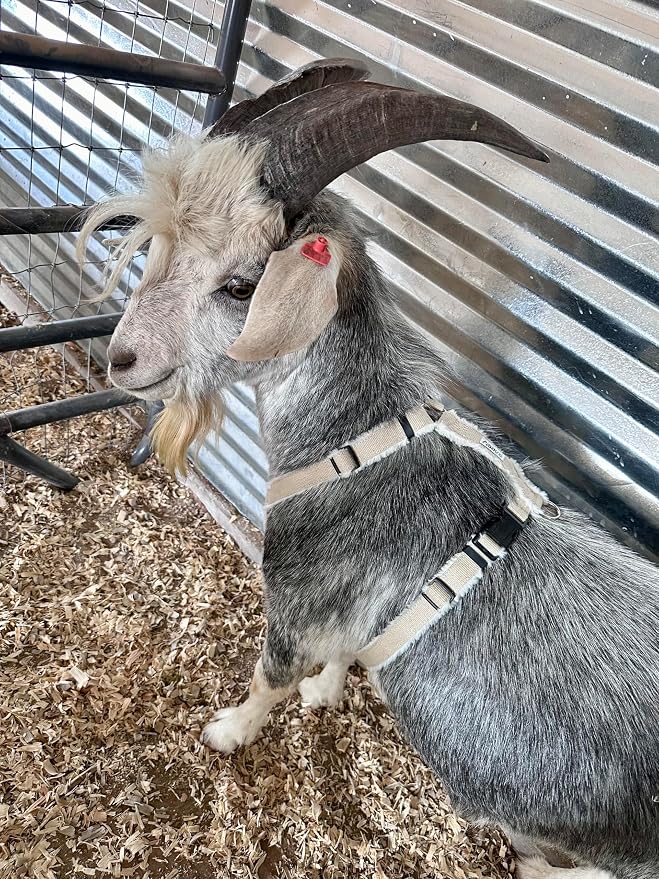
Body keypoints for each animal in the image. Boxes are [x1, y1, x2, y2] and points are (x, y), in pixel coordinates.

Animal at [78, 59, 659, 879]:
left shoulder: (296, 596)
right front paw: (327, 694)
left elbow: (270, 676)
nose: (122, 359)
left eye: (239, 284)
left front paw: (229, 731)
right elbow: (345, 652)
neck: (358, 437)